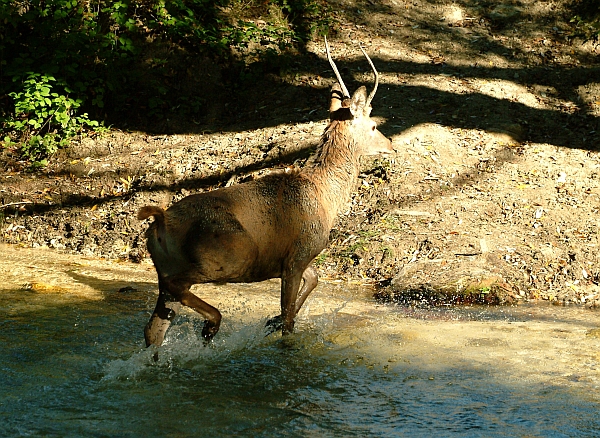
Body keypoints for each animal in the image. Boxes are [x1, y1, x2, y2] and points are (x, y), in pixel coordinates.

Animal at [138, 37, 396, 346]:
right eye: (374, 125)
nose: (392, 145)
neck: (325, 197)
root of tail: (160, 222)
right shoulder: (299, 253)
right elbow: (288, 320)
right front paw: (279, 329)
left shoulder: (287, 259)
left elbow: (312, 282)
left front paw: (270, 321)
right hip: (228, 255)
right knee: (176, 288)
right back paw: (212, 324)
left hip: (169, 265)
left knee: (153, 327)